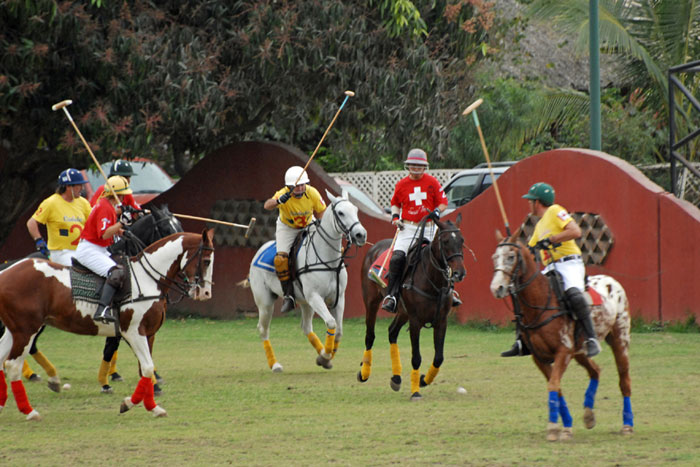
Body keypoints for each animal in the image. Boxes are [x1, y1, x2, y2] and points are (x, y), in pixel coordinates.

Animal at [0, 229, 213, 422]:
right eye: (206, 261)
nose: (205, 293)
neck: (147, 279)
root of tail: (5, 272)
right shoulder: (134, 332)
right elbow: (146, 367)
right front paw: (129, 403)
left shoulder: (148, 334)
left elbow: (145, 369)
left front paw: (153, 407)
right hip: (27, 329)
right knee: (12, 365)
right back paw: (30, 411)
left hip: (15, 329)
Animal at [245, 192, 366, 372]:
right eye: (341, 213)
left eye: (356, 210)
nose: (360, 235)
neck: (328, 259)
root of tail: (260, 249)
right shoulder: (315, 296)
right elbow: (331, 323)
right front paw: (325, 357)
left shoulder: (338, 298)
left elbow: (339, 330)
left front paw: (325, 358)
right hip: (265, 301)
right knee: (263, 329)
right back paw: (275, 365)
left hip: (305, 302)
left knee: (306, 327)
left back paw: (320, 352)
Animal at [358, 216, 468, 402]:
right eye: (445, 241)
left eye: (461, 241)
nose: (459, 273)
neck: (433, 280)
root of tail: (374, 246)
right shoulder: (415, 322)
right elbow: (416, 357)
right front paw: (416, 391)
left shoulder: (441, 321)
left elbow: (439, 357)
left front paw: (424, 380)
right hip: (371, 301)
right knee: (370, 336)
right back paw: (364, 373)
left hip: (403, 312)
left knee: (392, 332)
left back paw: (396, 378)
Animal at [490, 232, 632, 444]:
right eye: (494, 257)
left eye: (510, 257)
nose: (496, 288)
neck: (540, 302)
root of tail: (611, 280)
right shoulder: (539, 357)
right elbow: (556, 387)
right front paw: (565, 428)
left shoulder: (563, 351)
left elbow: (554, 384)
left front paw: (553, 428)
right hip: (580, 351)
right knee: (595, 370)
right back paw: (588, 416)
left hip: (619, 338)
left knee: (624, 379)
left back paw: (627, 425)